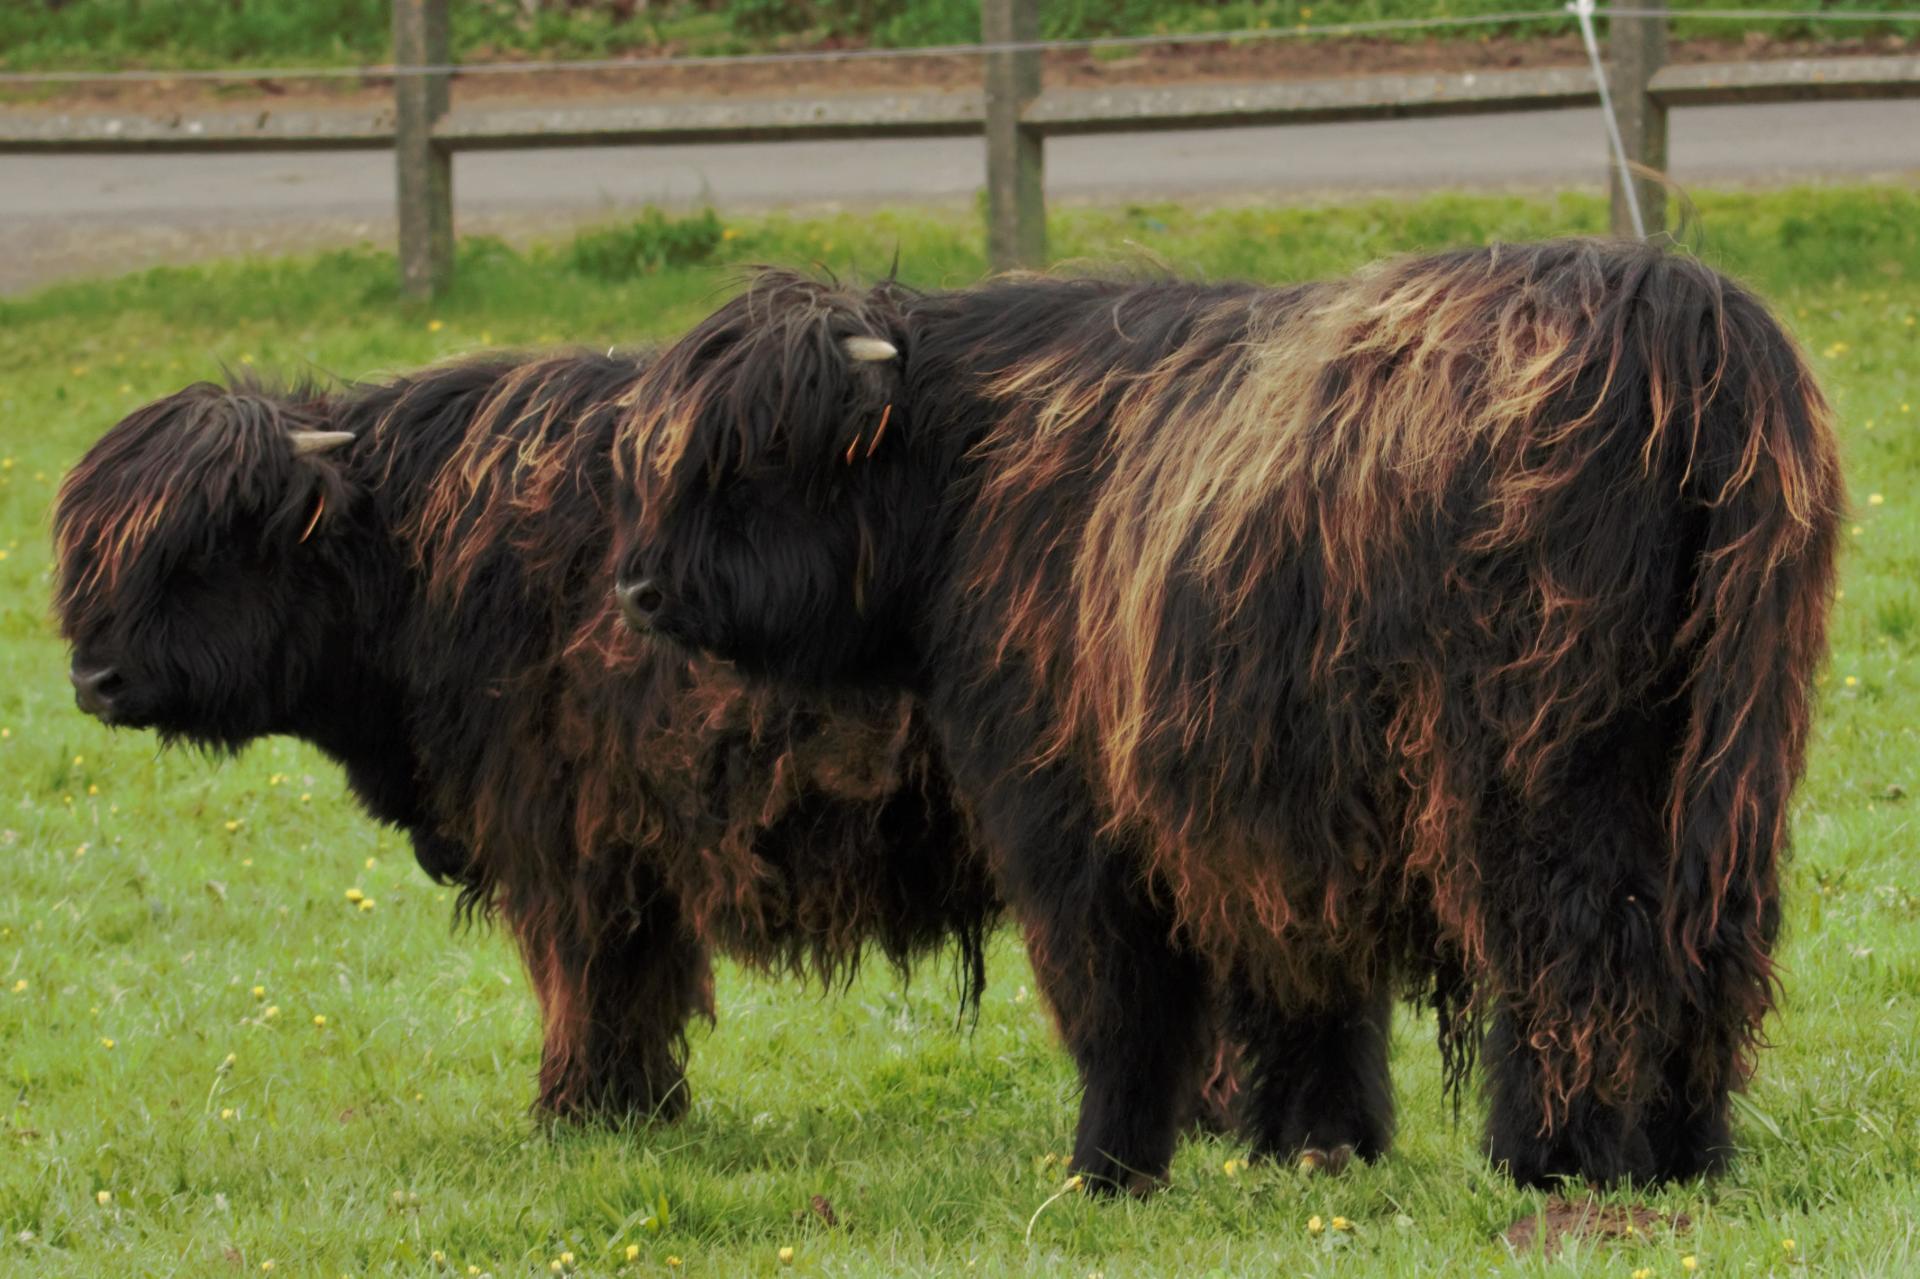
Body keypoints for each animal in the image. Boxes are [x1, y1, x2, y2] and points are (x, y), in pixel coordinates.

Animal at [50, 349, 998, 1113]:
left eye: (201, 550)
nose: (93, 680)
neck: (415, 558)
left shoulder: (567, 837)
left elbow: (590, 976)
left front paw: (584, 1108)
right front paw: (634, 1105)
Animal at [614, 241, 1843, 1182]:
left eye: (763, 450)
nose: (638, 586)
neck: (976, 470)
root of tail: (1677, 310)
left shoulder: (1068, 812)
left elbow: (1118, 1001)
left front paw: (1109, 1165)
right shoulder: (1269, 818)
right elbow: (1302, 990)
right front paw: (1320, 1143)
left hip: (1538, 768)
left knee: (1575, 944)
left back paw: (1552, 1158)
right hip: (1726, 762)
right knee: (1708, 941)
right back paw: (1686, 1151)